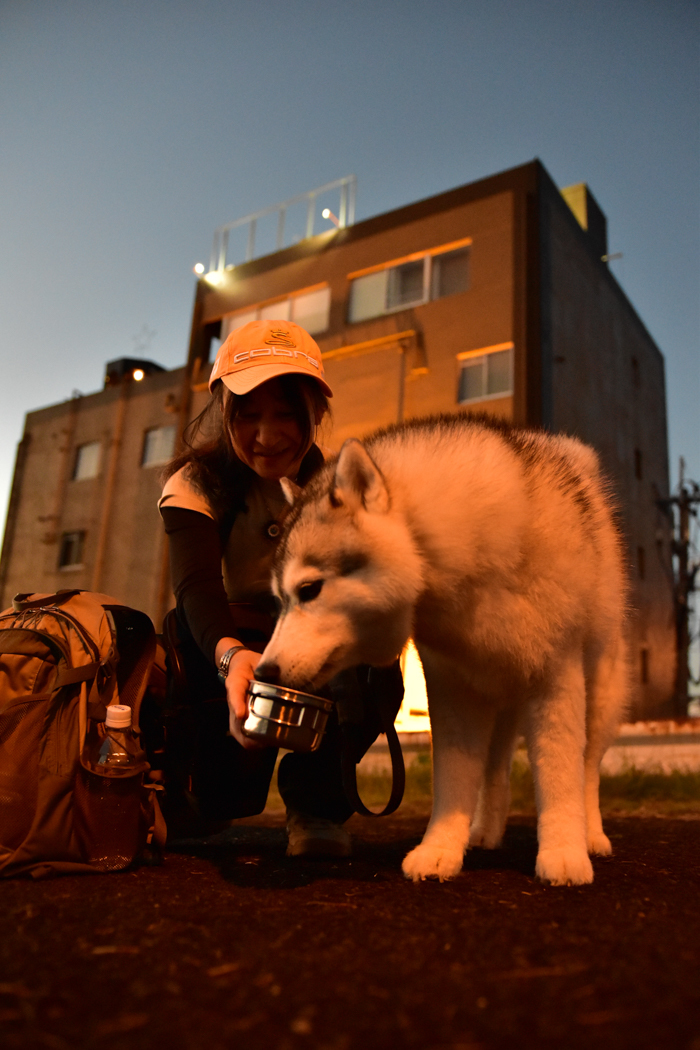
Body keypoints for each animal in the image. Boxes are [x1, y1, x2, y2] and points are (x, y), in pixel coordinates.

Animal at [257, 413, 629, 881]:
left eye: (309, 590)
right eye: (278, 601)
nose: (263, 672)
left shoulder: (556, 676)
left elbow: (561, 775)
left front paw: (563, 852)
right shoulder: (454, 689)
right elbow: (454, 778)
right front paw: (441, 849)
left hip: (599, 688)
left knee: (588, 767)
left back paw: (592, 834)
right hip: (498, 693)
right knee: (495, 768)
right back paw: (484, 830)